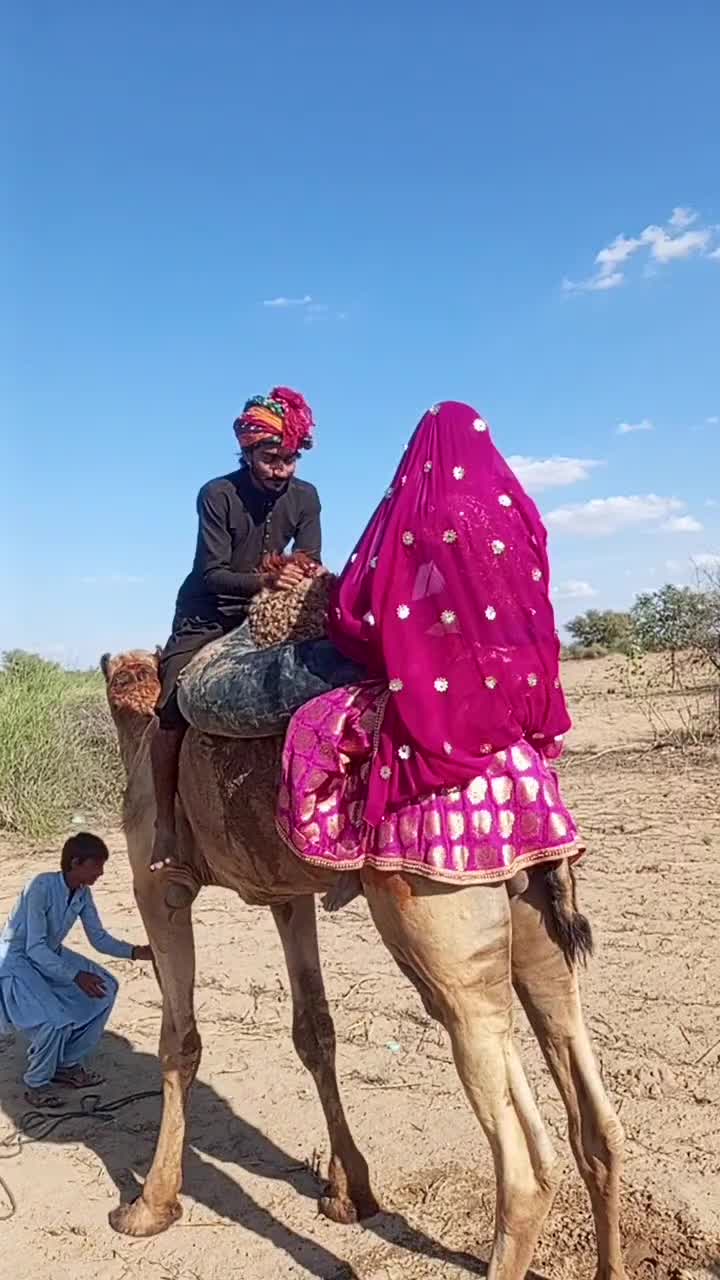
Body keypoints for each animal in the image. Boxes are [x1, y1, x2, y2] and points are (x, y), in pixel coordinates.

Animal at [101, 643, 627, 1280]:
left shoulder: (156, 887)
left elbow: (180, 1041)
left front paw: (149, 1206)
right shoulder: (287, 894)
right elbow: (314, 1030)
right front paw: (349, 1193)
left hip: (432, 912)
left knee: (522, 1164)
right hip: (531, 919)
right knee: (591, 1109)